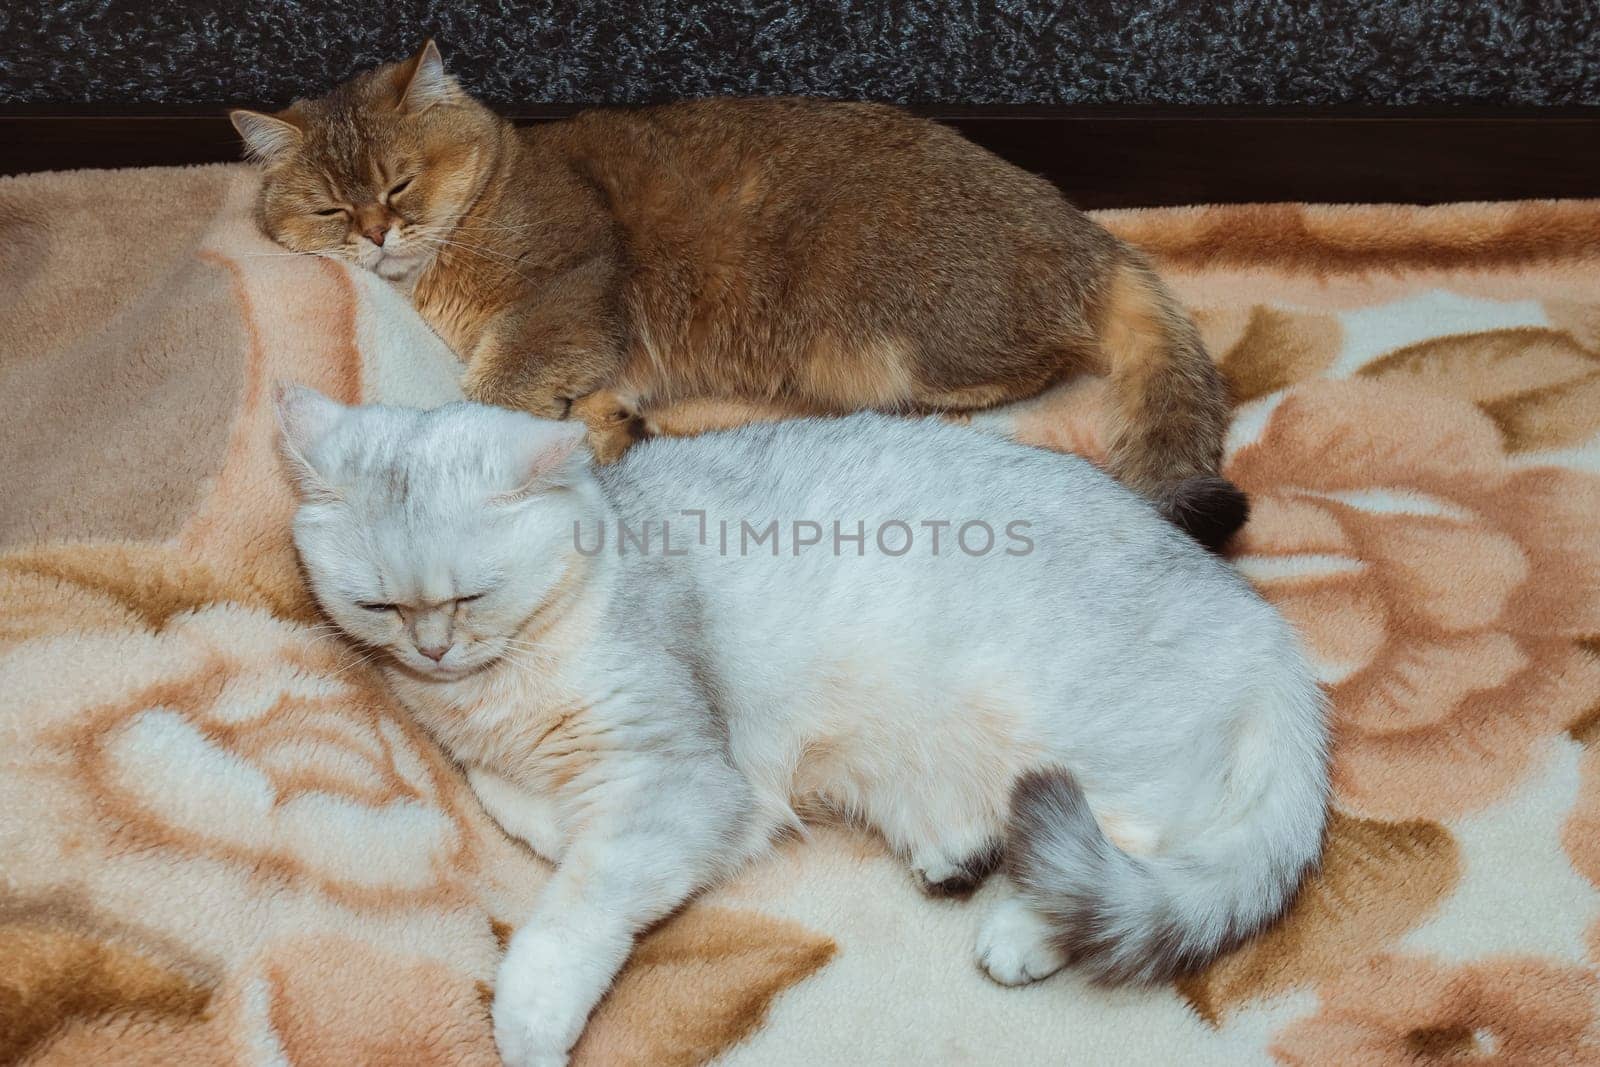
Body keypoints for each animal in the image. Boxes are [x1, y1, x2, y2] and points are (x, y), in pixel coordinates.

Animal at [233, 42, 1248, 550]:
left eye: (398, 185)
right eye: (329, 207)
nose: (374, 234)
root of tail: (1091, 236)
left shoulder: (568, 291)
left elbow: (494, 389)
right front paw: (603, 429)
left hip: (889, 337)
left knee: (1029, 367)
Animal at [275, 385, 1324, 1067]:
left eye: (470, 594)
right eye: (376, 605)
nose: (434, 648)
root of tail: (1267, 627)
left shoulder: (683, 782)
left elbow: (577, 904)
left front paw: (530, 1016)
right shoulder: (503, 764)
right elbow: (519, 806)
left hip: (1077, 743)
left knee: (1132, 848)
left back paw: (1021, 925)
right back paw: (959, 850)